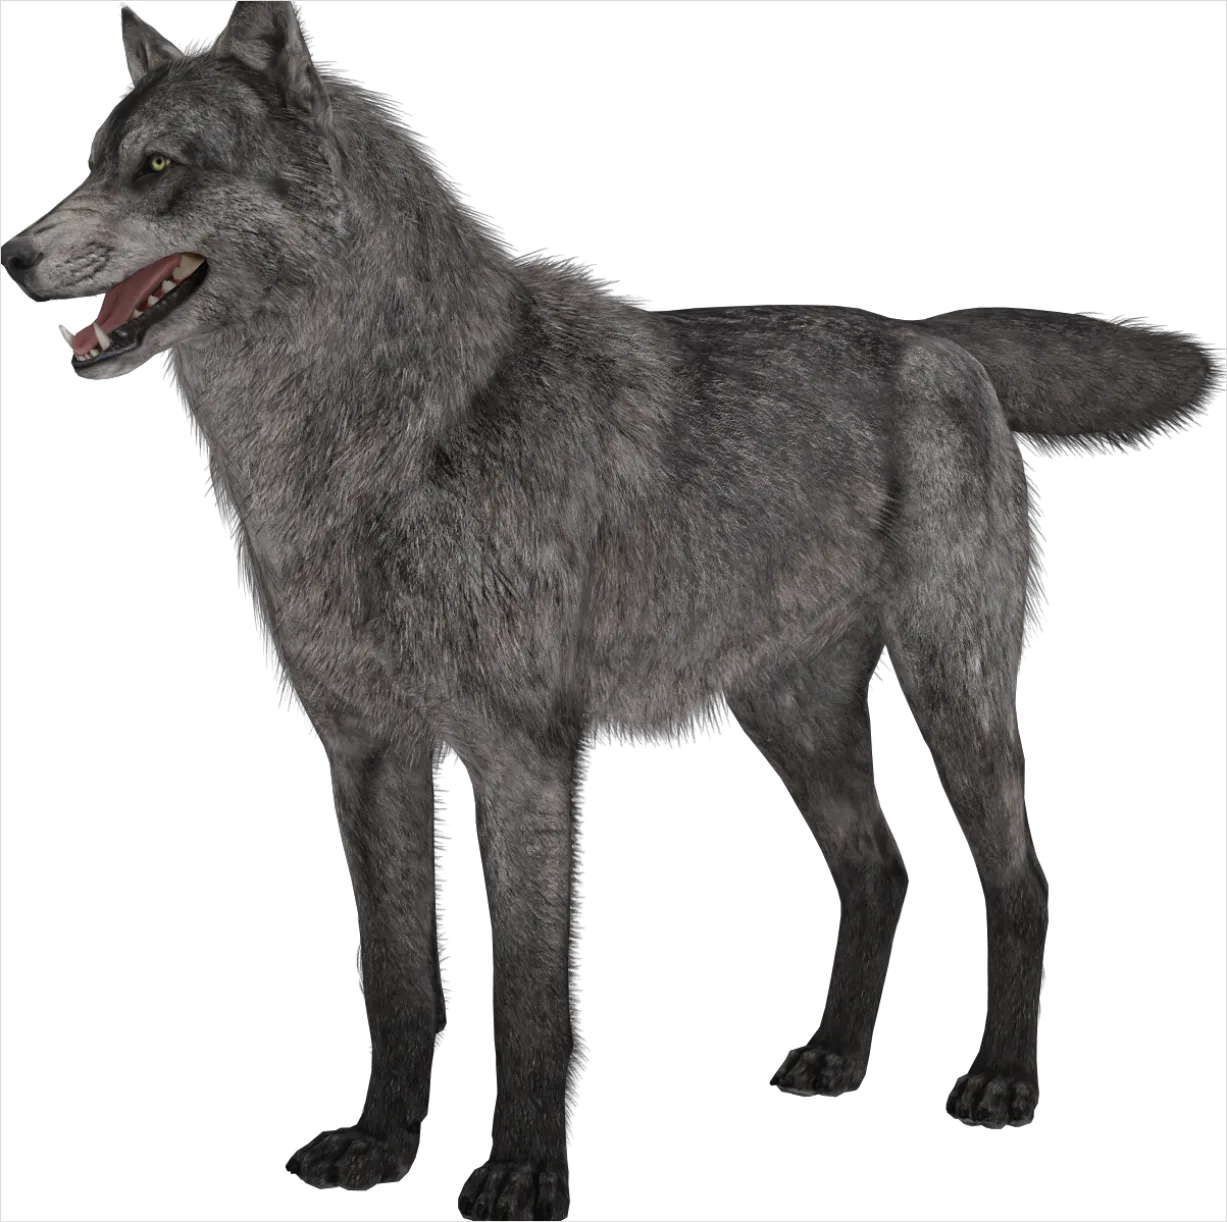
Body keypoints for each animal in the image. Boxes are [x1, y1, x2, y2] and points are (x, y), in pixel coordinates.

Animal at [2, 3, 1215, 1217]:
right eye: (94, 162)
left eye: (162, 168)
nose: (13, 254)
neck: (393, 439)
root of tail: (941, 344)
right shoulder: (367, 754)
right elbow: (398, 983)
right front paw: (382, 1145)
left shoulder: (521, 758)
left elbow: (527, 992)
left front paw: (525, 1170)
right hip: (793, 721)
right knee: (879, 867)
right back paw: (834, 1058)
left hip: (952, 691)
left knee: (1019, 882)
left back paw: (1002, 1082)